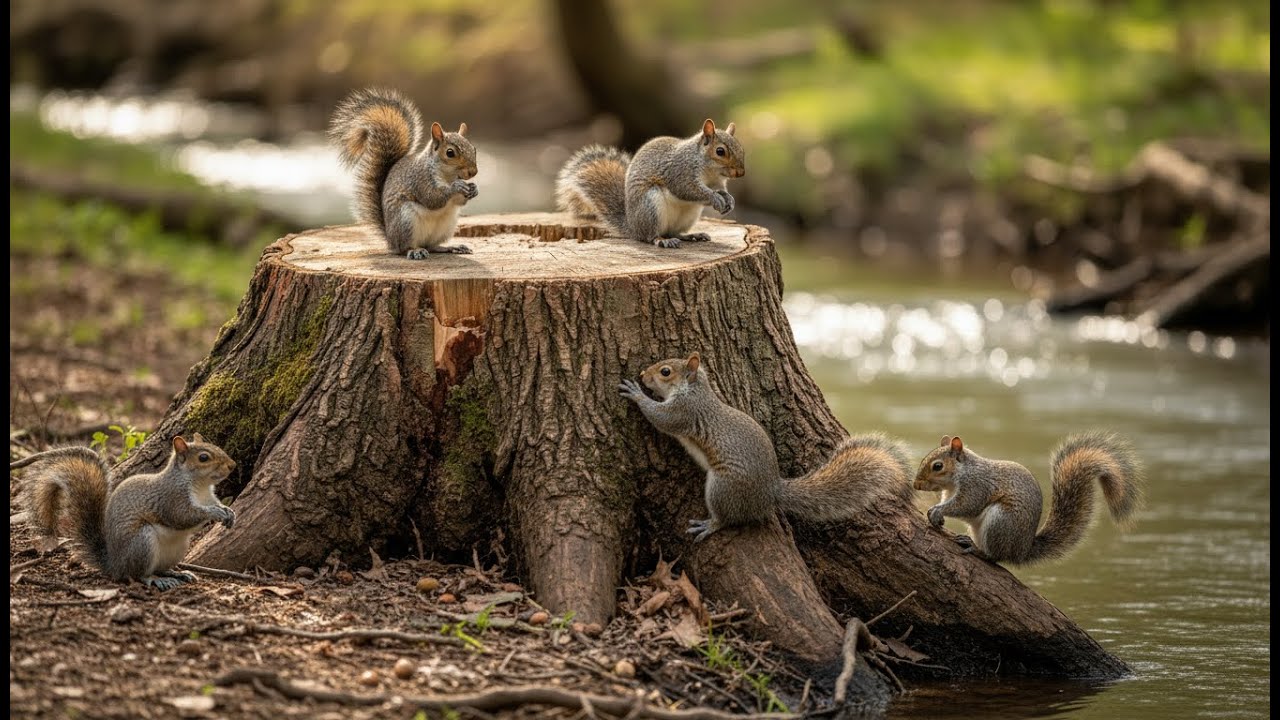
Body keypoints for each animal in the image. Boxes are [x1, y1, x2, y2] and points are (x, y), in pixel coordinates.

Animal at [12, 434, 238, 590]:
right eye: (203, 457)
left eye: (217, 447)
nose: (232, 465)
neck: (200, 486)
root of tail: (115, 564)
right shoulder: (171, 498)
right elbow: (183, 517)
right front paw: (215, 513)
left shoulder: (208, 496)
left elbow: (214, 506)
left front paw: (228, 511)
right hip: (141, 543)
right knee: (137, 574)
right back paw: (156, 580)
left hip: (178, 548)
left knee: (159, 567)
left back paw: (177, 573)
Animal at [328, 87, 479, 259]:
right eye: (450, 153)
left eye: (474, 149)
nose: (473, 172)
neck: (448, 175)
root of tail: (390, 239)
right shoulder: (420, 179)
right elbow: (432, 198)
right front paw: (456, 186)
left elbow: (458, 201)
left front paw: (473, 189)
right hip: (406, 222)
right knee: (404, 248)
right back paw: (415, 251)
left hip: (446, 225)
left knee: (432, 246)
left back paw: (451, 247)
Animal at [555, 119, 746, 248]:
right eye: (720, 151)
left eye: (741, 149)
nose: (741, 173)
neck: (710, 171)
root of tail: (632, 227)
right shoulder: (680, 172)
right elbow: (688, 190)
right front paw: (714, 198)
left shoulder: (717, 182)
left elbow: (722, 190)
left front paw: (729, 200)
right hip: (650, 206)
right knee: (650, 236)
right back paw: (661, 240)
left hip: (688, 216)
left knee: (673, 232)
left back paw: (691, 236)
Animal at [618, 352, 913, 541]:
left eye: (665, 371)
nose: (643, 374)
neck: (694, 390)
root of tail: (771, 492)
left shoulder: (685, 411)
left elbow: (662, 419)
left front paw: (636, 393)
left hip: (723, 487)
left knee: (728, 517)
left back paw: (709, 525)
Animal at [912, 432, 1145, 564]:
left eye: (937, 466)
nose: (916, 485)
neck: (960, 476)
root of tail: (1022, 551)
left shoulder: (977, 487)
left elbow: (966, 505)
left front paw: (937, 511)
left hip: (1000, 522)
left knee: (996, 557)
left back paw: (979, 551)